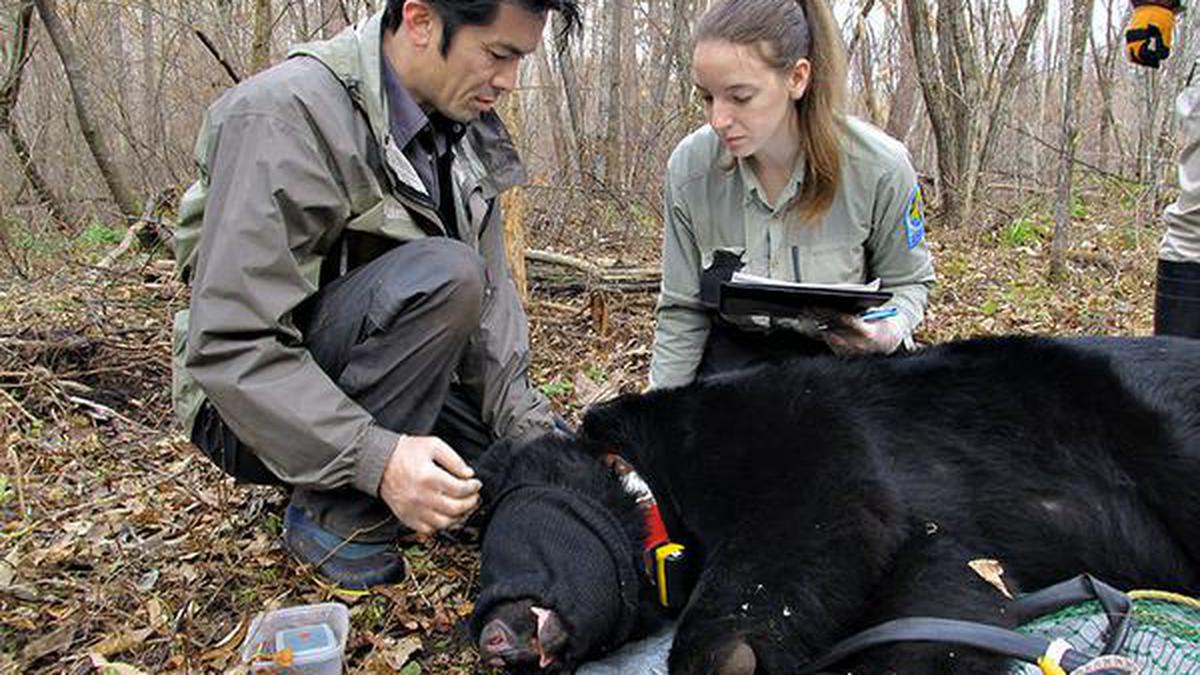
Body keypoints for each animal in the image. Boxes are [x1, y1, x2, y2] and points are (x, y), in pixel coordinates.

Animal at [472, 333, 1195, 667]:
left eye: (512, 508)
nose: (492, 637)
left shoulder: (792, 425)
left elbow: (825, 510)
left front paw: (727, 654)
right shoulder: (945, 535)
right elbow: (940, 596)